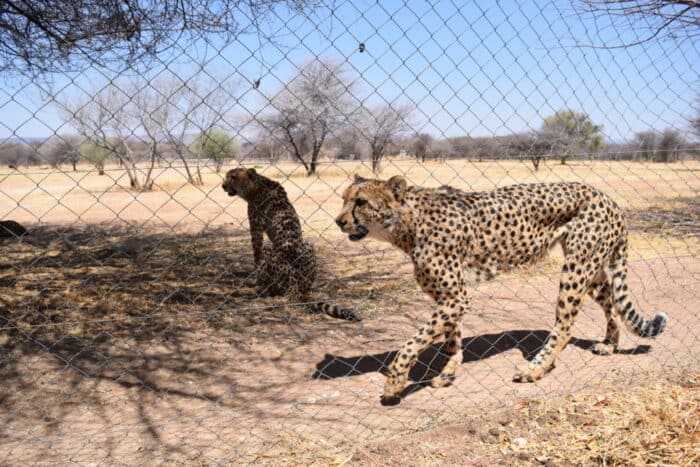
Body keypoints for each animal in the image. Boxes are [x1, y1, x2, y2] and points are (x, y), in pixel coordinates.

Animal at [222, 167, 360, 322]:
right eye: (227, 176)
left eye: (233, 177)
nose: (223, 186)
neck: (256, 185)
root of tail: (297, 289)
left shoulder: (256, 230)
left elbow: (257, 257)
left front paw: (254, 282)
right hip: (308, 246)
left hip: (271, 254)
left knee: (270, 284)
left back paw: (259, 289)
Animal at [335, 174, 667, 403]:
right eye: (343, 198)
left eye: (360, 202)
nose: (338, 221)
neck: (407, 224)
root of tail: (608, 198)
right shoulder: (450, 297)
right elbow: (450, 338)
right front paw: (448, 373)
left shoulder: (455, 296)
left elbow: (411, 343)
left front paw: (394, 382)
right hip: (591, 268)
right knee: (611, 299)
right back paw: (609, 343)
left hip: (577, 269)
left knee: (564, 327)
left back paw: (534, 369)